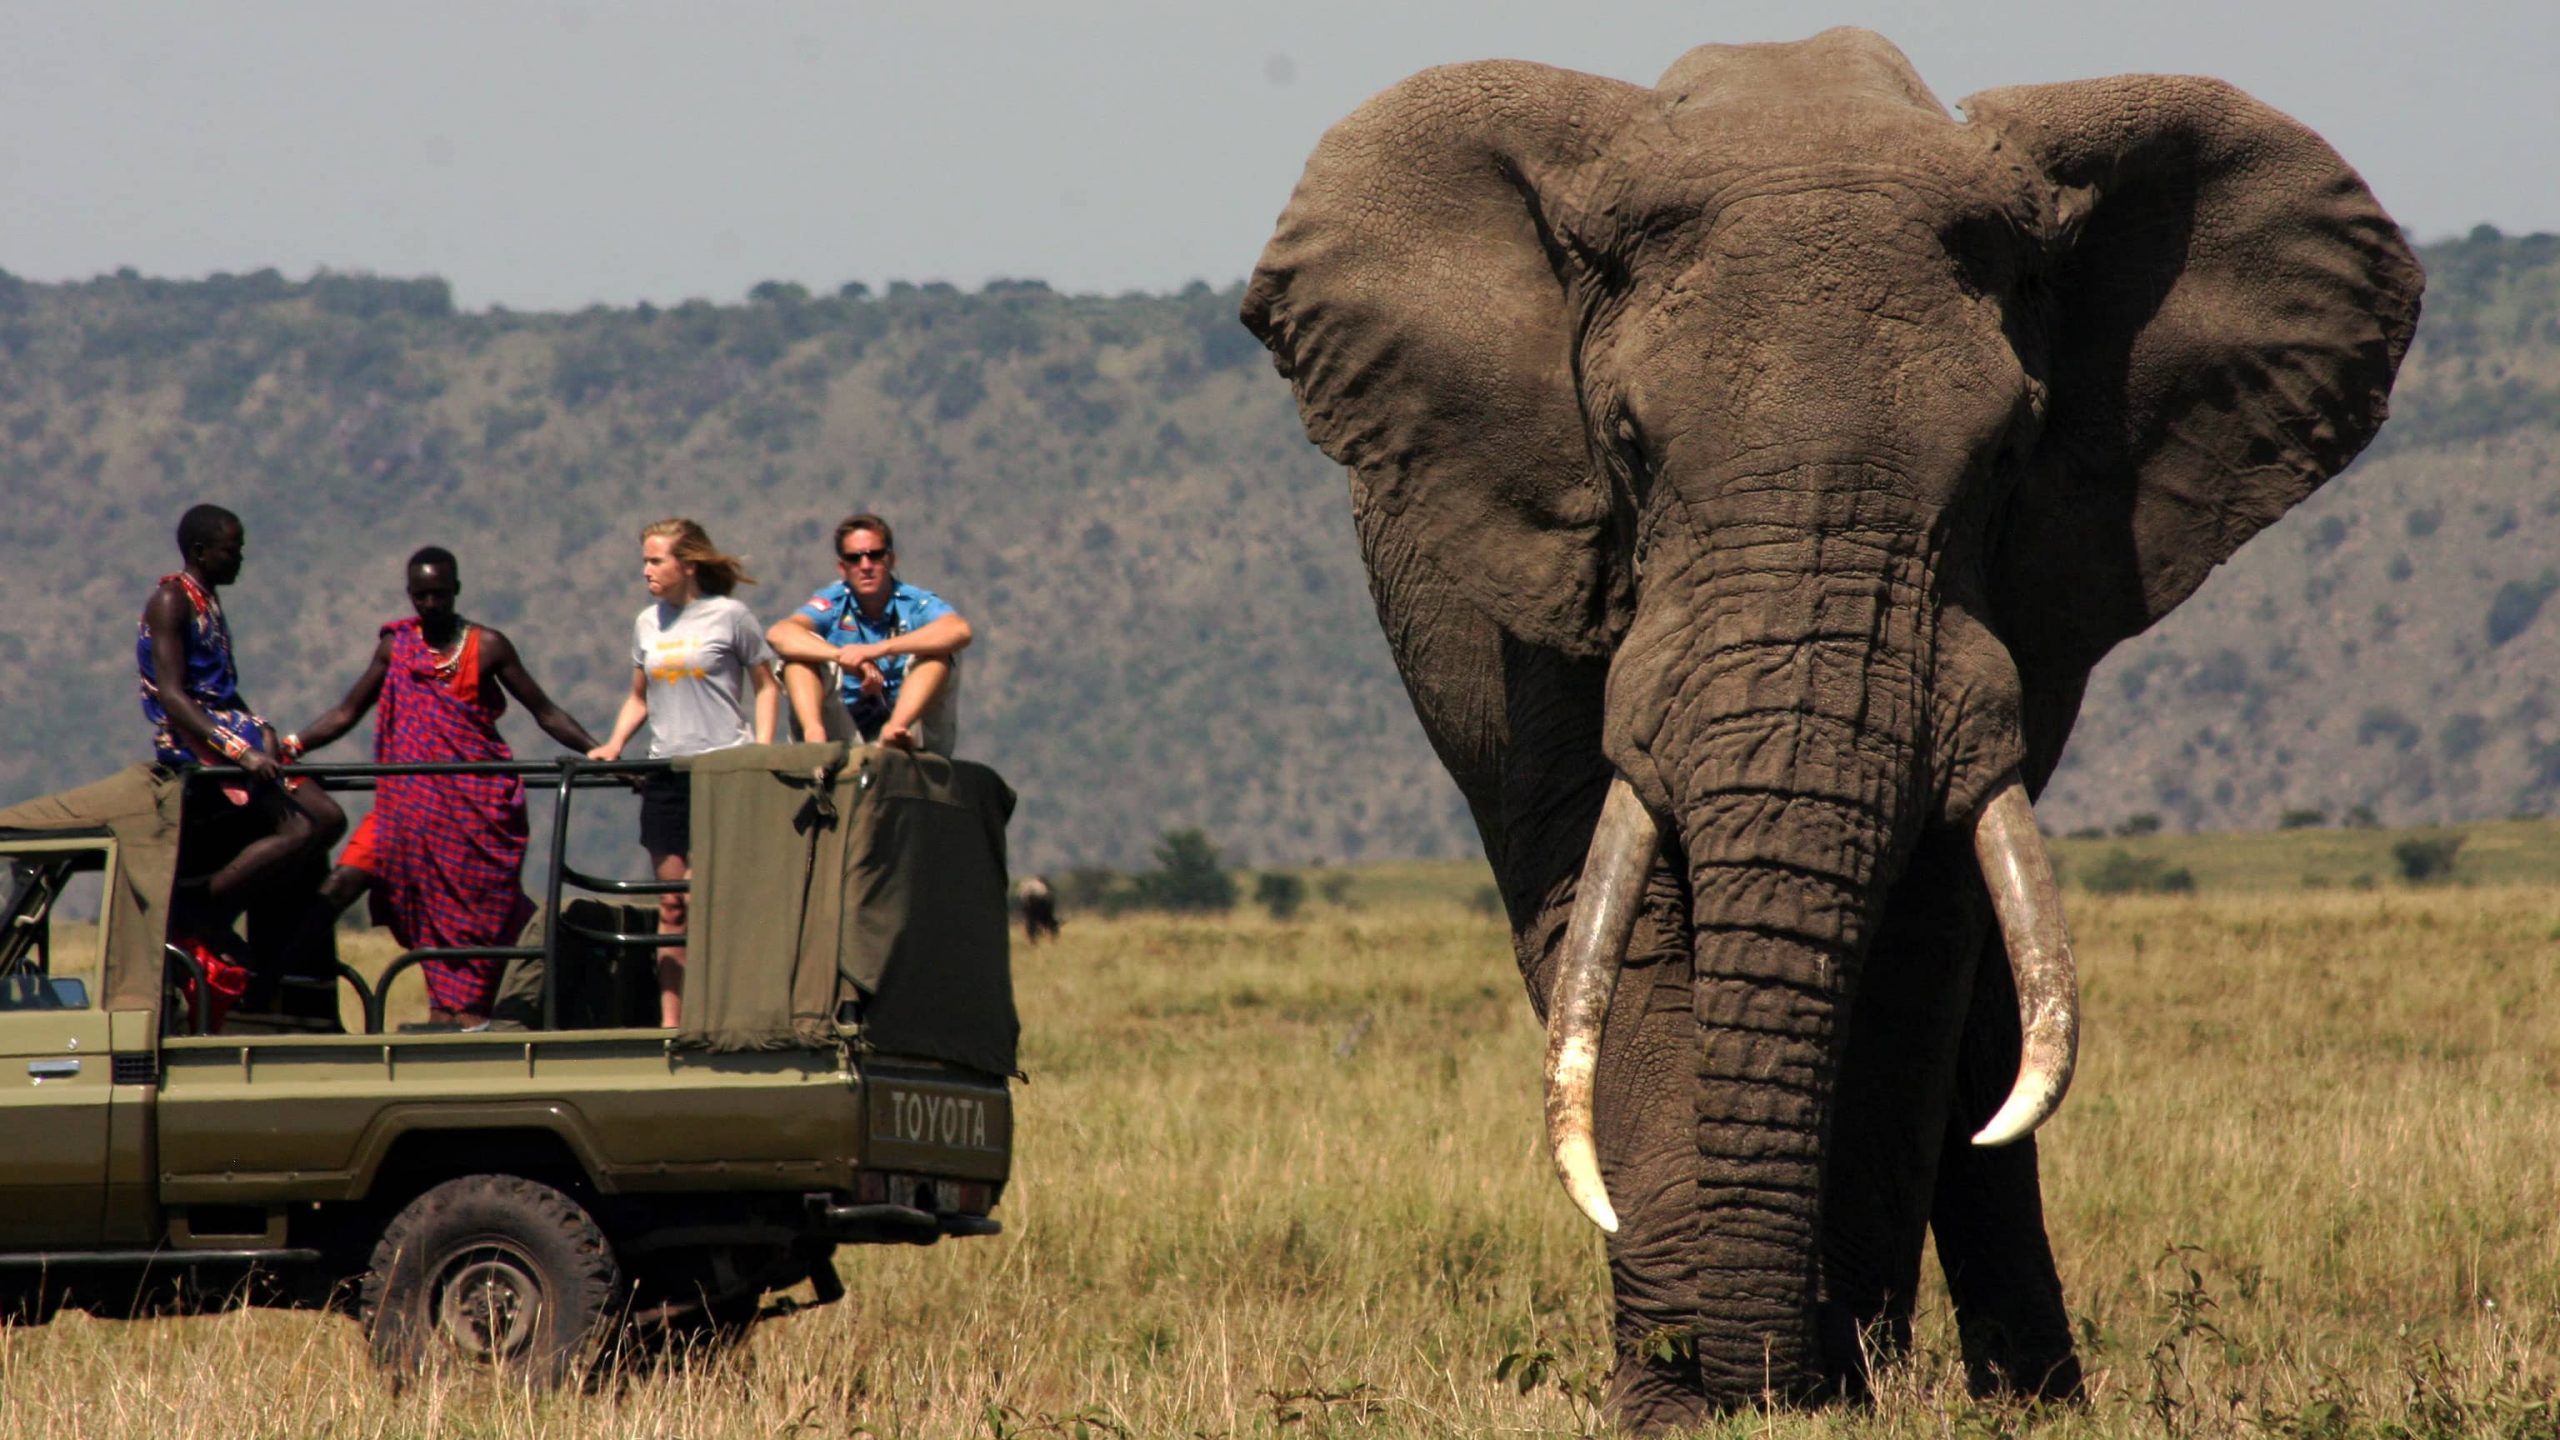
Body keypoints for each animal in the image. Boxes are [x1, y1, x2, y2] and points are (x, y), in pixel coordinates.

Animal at [1239, 28, 2416, 1424]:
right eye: (1626, 446)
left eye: (2006, 458)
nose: (1766, 1382)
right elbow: (1621, 914)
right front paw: (1683, 1410)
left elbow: (1908, 949)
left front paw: (1832, 1396)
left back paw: (2032, 1402)